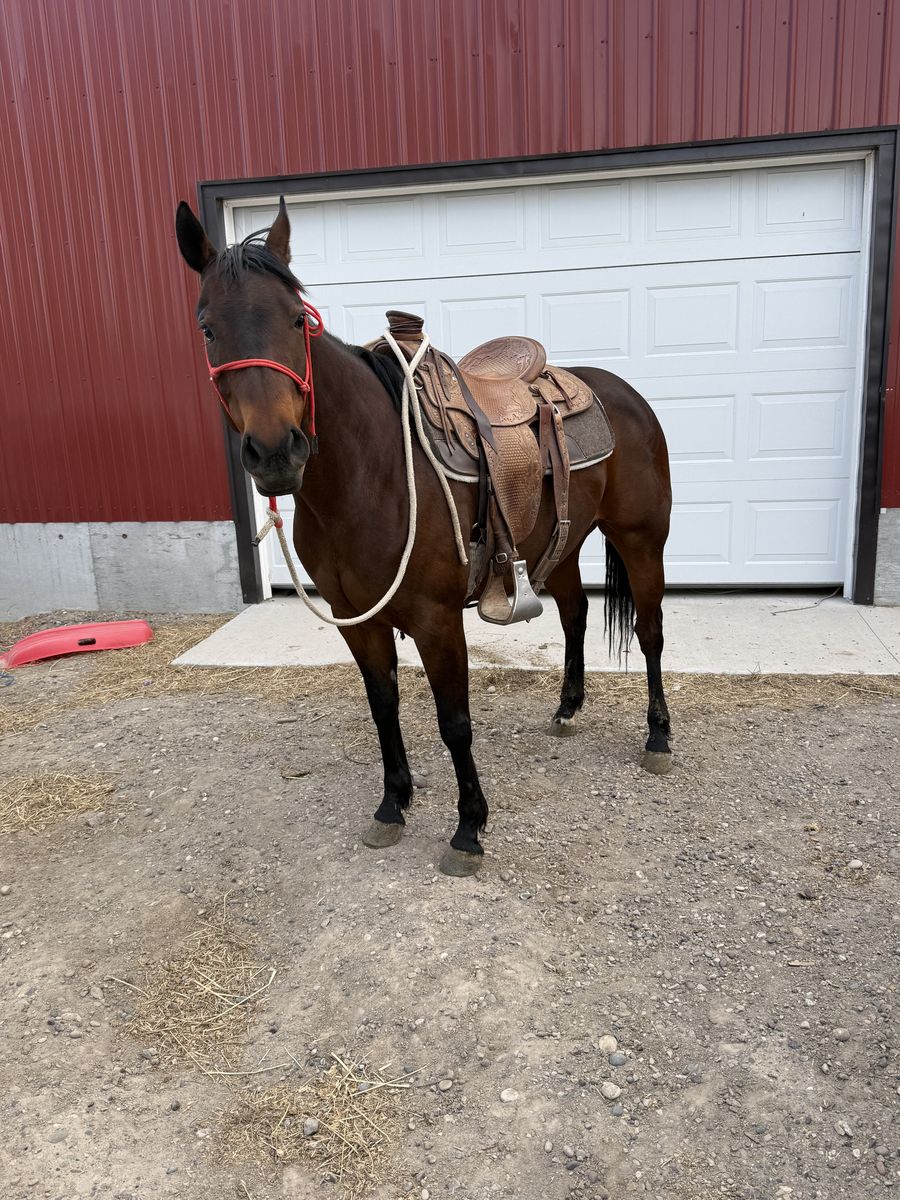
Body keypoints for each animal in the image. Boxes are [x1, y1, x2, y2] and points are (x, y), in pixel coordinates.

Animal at [175, 199, 673, 876]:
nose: (276, 452)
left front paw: (468, 829)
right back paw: (568, 708)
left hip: (642, 540)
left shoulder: (438, 619)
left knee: (649, 633)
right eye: (207, 329)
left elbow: (454, 721)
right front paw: (393, 804)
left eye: (296, 320)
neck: (371, 469)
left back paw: (658, 736)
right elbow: (383, 704)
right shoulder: (357, 618)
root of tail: (621, 392)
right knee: (575, 615)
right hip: (562, 543)